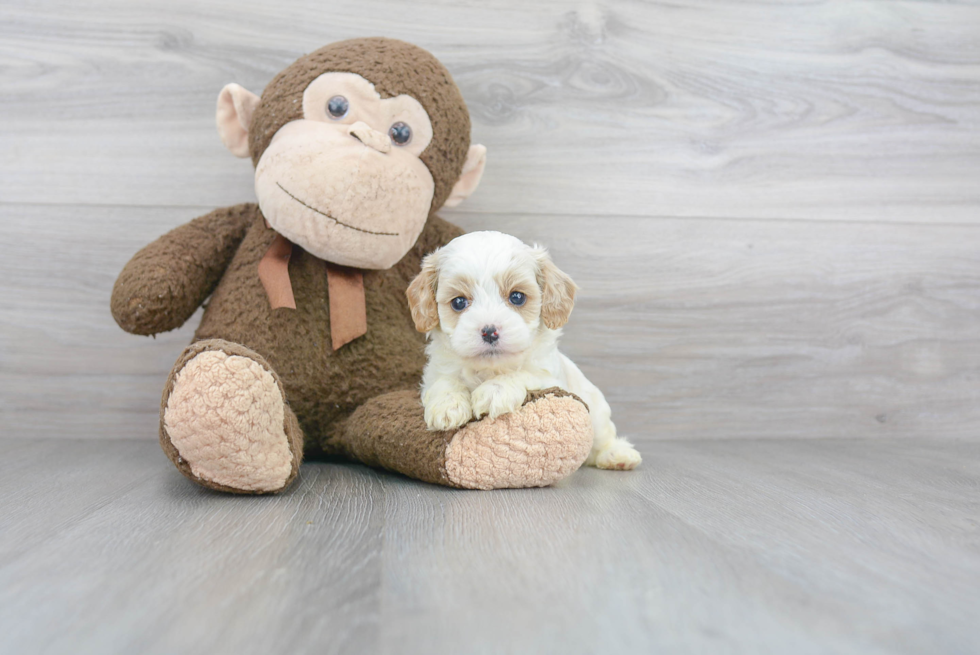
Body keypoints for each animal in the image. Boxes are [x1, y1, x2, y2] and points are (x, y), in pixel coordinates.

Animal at [406, 231, 644, 472]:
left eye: (517, 297)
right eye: (459, 302)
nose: (490, 331)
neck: (490, 369)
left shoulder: (550, 378)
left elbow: (524, 374)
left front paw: (495, 390)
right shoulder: (434, 372)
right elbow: (444, 381)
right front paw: (447, 405)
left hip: (596, 409)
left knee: (601, 439)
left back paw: (617, 455)